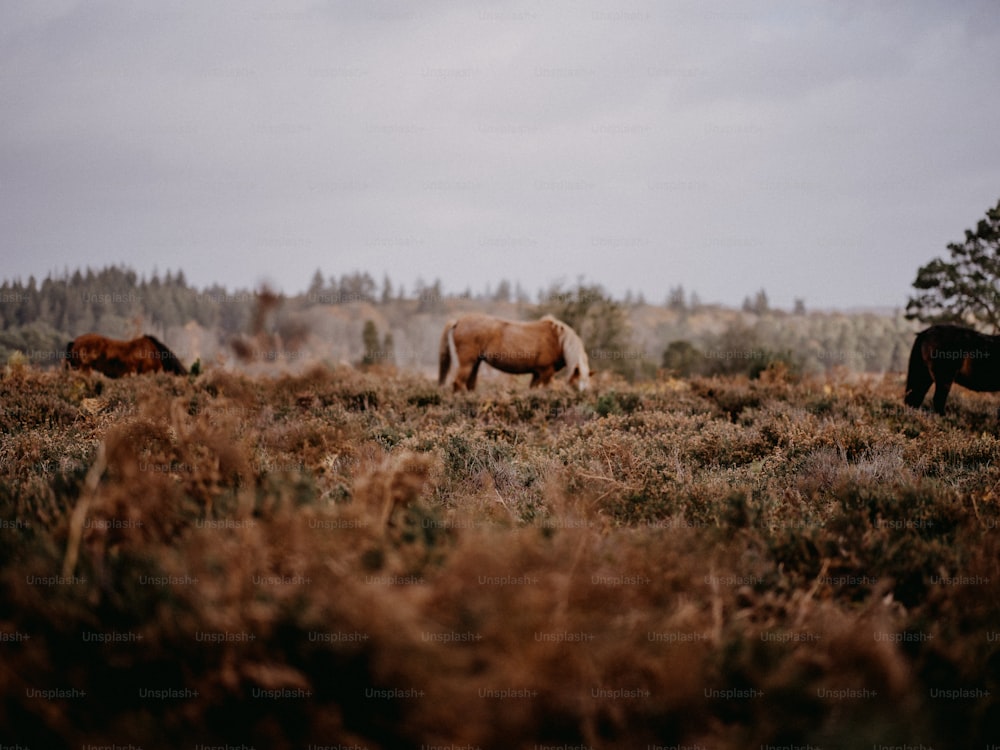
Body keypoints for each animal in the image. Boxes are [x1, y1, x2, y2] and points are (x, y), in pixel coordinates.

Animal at [436, 312, 584, 394]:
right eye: (575, 385)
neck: (557, 340)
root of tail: (458, 321)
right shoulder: (546, 372)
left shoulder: (537, 374)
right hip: (467, 363)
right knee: (458, 383)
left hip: (475, 363)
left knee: (469, 384)